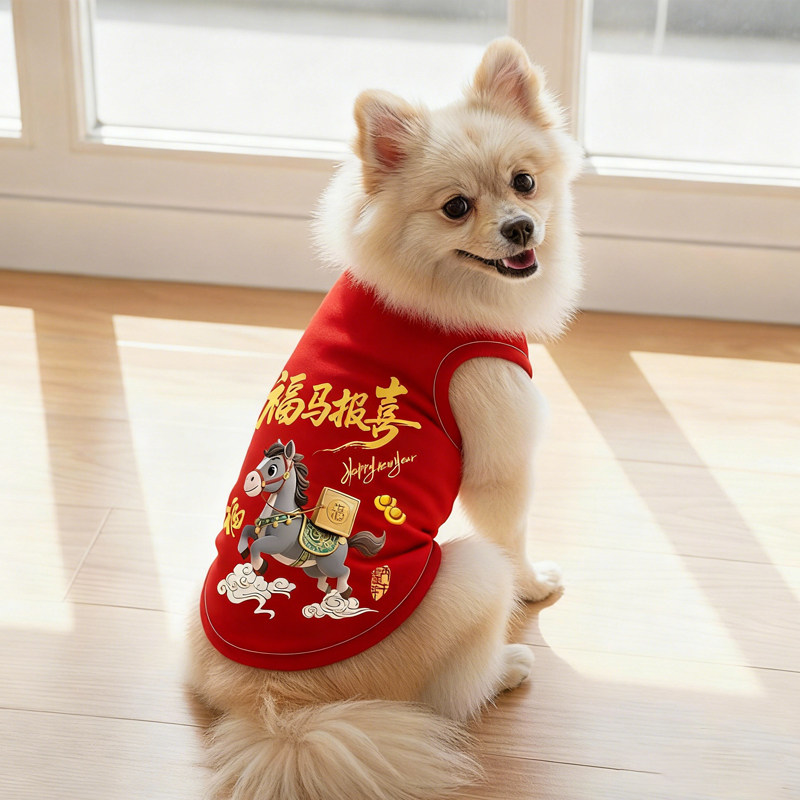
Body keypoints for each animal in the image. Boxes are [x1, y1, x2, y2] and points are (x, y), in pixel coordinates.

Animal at [238, 439, 385, 598]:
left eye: (272, 469)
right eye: (261, 460)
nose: (248, 480)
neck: (282, 516)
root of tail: (346, 541)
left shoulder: (278, 543)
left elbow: (256, 546)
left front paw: (260, 566)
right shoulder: (258, 533)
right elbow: (246, 530)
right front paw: (243, 550)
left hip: (329, 565)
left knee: (345, 571)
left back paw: (344, 590)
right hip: (313, 568)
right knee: (322, 579)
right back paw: (327, 591)